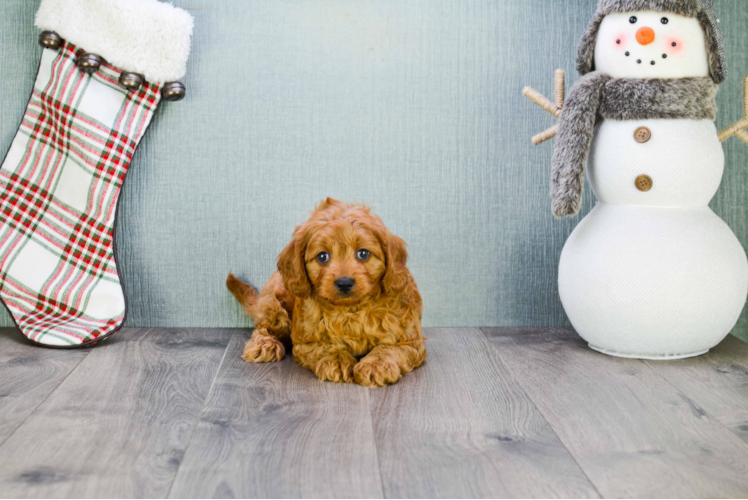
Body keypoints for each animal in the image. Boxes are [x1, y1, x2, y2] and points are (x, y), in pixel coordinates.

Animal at [226, 198, 426, 386]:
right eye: (322, 256)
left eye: (363, 253)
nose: (344, 283)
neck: (351, 310)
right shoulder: (305, 342)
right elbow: (325, 347)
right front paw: (337, 360)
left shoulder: (410, 340)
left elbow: (389, 348)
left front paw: (375, 364)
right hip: (275, 304)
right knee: (264, 326)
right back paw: (265, 345)